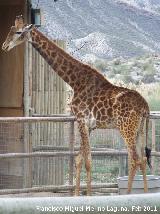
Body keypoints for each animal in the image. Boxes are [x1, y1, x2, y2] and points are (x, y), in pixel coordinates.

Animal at [1, 15, 151, 196]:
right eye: (10, 30)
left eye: (18, 32)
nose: (4, 46)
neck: (74, 81)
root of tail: (145, 107)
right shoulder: (88, 125)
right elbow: (79, 159)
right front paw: (76, 194)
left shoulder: (81, 120)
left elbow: (87, 161)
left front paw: (87, 196)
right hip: (139, 129)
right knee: (142, 159)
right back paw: (144, 194)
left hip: (126, 128)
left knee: (135, 159)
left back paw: (129, 195)